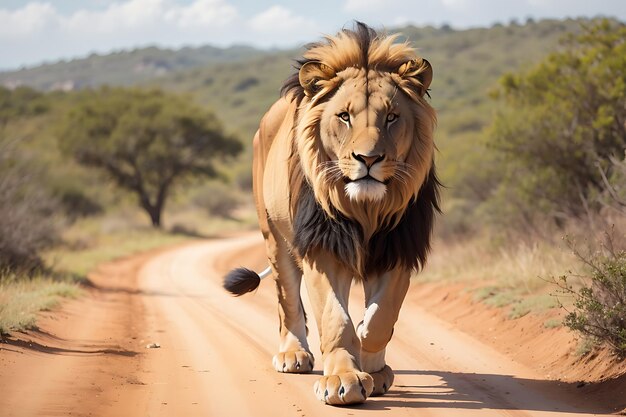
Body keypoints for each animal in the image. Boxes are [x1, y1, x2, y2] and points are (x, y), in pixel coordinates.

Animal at [224, 22, 438, 404]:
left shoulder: (398, 248)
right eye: (344, 116)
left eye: (392, 117)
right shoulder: (322, 249)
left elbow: (382, 318)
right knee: (287, 301)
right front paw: (343, 379)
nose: (368, 159)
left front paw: (373, 366)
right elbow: (335, 318)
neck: (367, 208)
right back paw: (293, 354)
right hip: (275, 237)